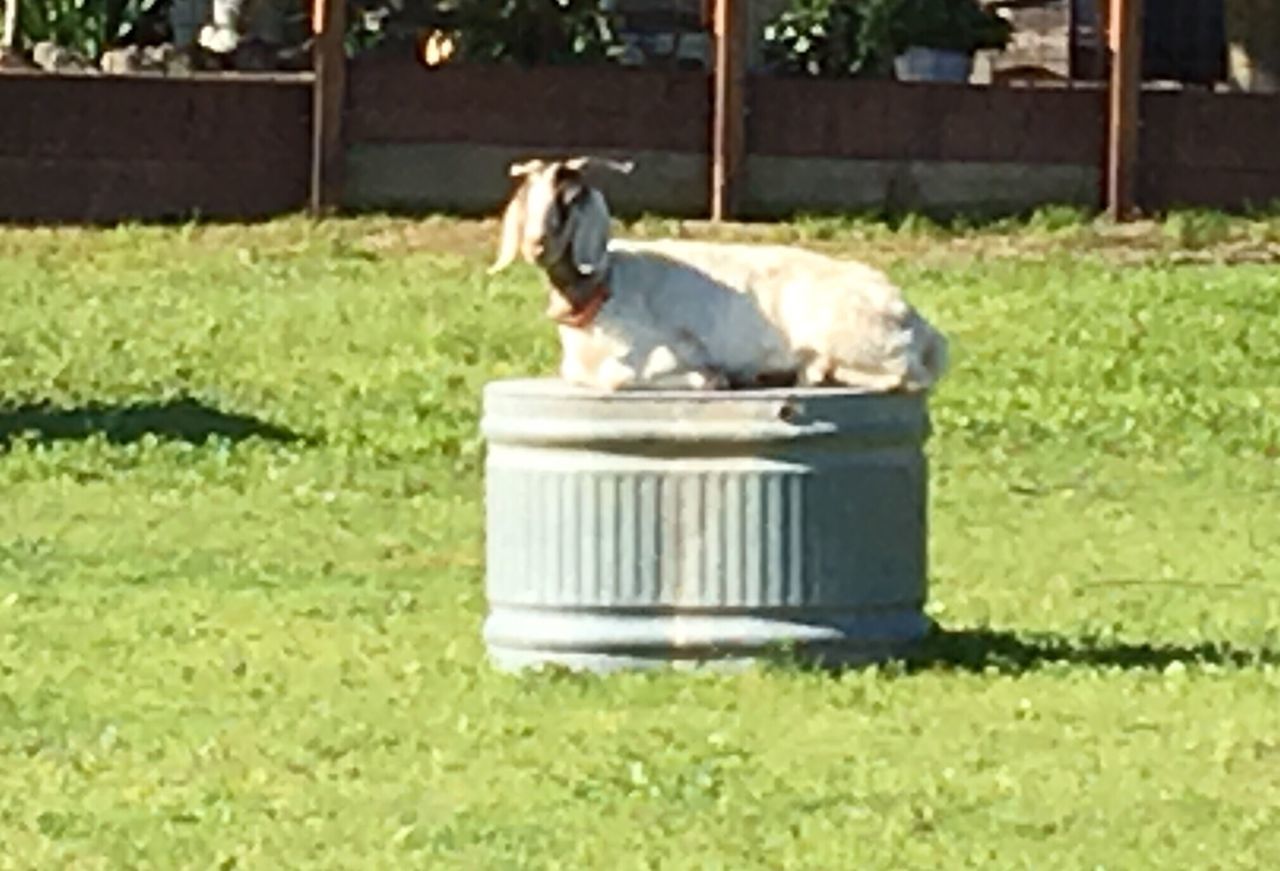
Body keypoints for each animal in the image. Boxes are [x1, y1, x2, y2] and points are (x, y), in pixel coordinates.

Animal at [488, 154, 952, 391]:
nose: (536, 245)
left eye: (571, 199)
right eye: (527, 196)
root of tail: (918, 324)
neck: (605, 288)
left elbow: (618, 378)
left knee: (909, 377)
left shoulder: (669, 346)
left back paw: (811, 372)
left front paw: (710, 377)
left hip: (852, 337)